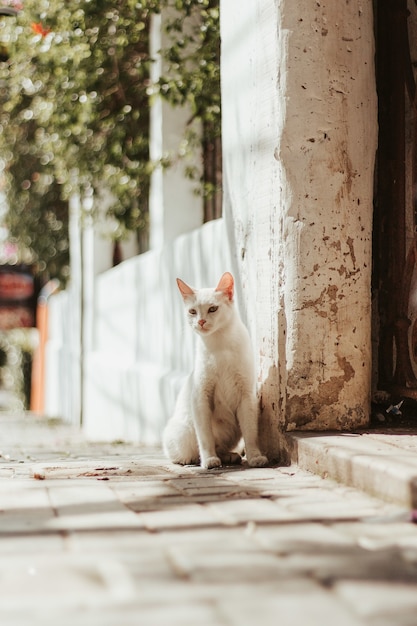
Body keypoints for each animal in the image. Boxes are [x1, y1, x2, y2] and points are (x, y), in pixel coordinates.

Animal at [162, 270, 266, 468]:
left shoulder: (247, 396)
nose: (201, 321)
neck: (220, 345)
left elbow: (250, 432)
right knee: (185, 452)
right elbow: (205, 436)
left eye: (212, 309)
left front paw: (255, 457)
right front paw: (209, 459)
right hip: (183, 432)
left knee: (222, 446)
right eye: (192, 311)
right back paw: (196, 459)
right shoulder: (201, 397)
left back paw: (230, 456)